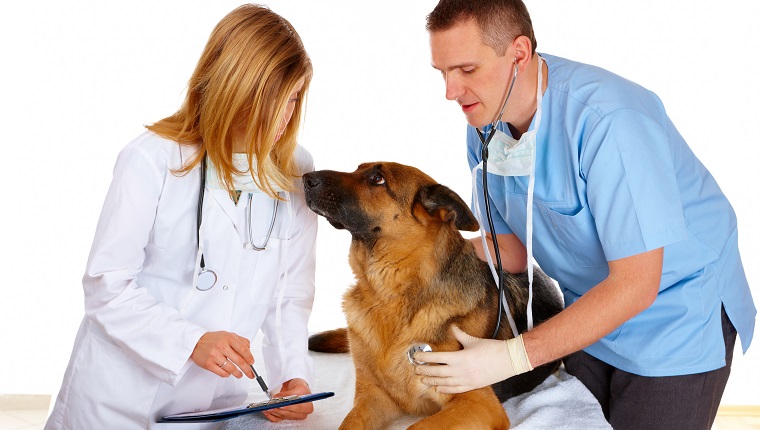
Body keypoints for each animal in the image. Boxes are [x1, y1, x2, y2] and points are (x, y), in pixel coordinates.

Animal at [304, 163, 564, 428]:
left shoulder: (478, 403)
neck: (388, 296)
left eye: (377, 178)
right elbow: (349, 423)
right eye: (358, 168)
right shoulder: (373, 397)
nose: (306, 178)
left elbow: (416, 426)